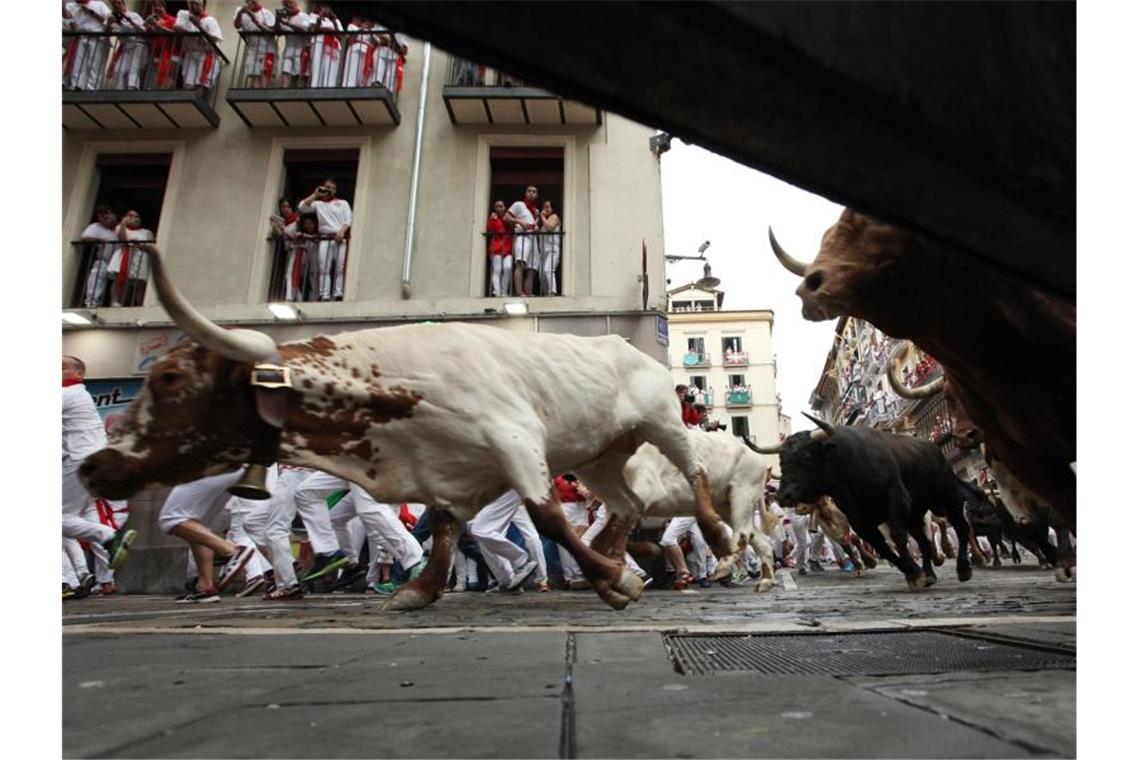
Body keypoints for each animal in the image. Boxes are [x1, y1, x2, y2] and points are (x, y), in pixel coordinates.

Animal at [82, 247, 738, 610]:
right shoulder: (452, 475)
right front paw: (419, 590)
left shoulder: (514, 438)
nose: (93, 466)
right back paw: (617, 557)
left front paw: (615, 581)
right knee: (628, 504)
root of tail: (629, 349)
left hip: (662, 422)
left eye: (169, 378)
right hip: (600, 455)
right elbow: (445, 532)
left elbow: (547, 514)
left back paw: (710, 539)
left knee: (695, 475)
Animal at [756, 421, 980, 587]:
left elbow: (897, 538)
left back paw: (963, 568)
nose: (784, 495)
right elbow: (880, 546)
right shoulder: (858, 520)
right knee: (923, 539)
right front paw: (913, 573)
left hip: (948, 497)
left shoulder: (896, 501)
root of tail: (933, 447)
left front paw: (913, 573)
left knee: (960, 527)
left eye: (807, 456)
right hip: (915, 513)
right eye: (782, 459)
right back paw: (930, 573)